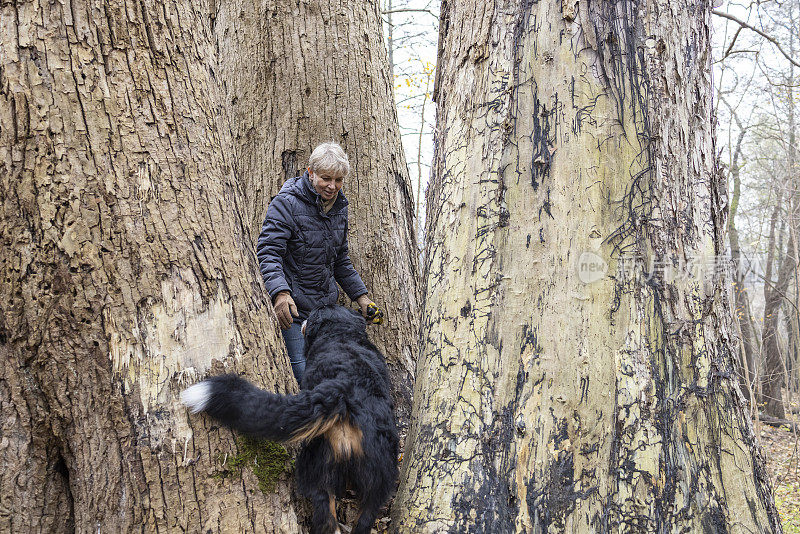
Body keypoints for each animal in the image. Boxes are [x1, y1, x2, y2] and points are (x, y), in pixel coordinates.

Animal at [179, 306, 396, 534]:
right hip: (376, 479)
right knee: (363, 516)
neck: (341, 335)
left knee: (325, 517)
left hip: (316, 464)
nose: (302, 317)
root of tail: (343, 388)